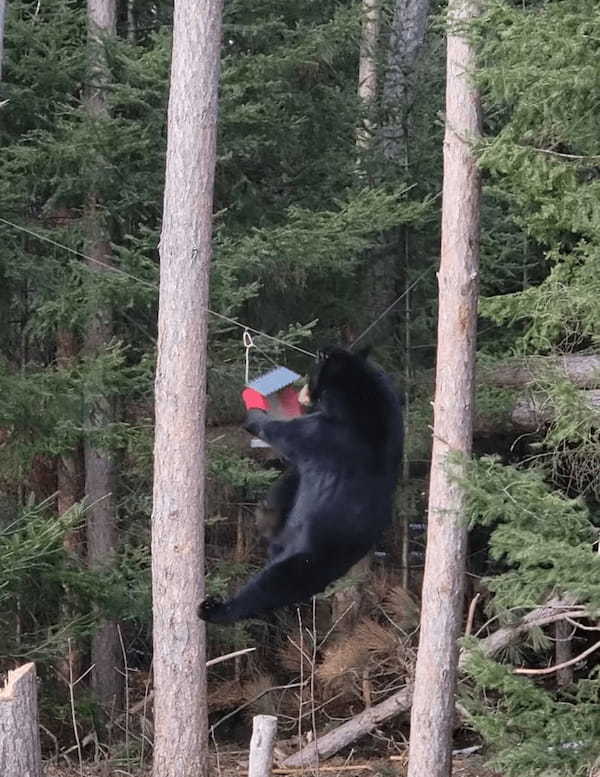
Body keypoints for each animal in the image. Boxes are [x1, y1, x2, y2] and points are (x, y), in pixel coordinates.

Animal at [200, 346, 404, 624]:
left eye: (310, 373)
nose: (302, 393)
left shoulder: (321, 434)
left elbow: (279, 431)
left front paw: (252, 404)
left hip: (304, 561)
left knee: (267, 588)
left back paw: (216, 609)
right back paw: (267, 514)